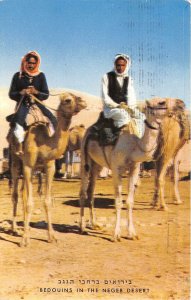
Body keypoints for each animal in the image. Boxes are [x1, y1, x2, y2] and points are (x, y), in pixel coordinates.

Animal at [8, 92, 86, 246]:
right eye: (68, 100)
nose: (84, 101)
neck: (43, 142)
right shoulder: (28, 165)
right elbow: (30, 203)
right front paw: (24, 240)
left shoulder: (49, 168)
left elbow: (47, 202)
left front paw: (51, 236)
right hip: (15, 162)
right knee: (15, 195)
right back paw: (15, 229)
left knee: (23, 194)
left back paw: (25, 227)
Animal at [79, 98, 170, 241]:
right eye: (160, 102)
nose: (172, 107)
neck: (134, 147)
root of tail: (89, 129)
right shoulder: (116, 169)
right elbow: (118, 202)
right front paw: (116, 234)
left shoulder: (134, 169)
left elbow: (129, 201)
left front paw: (132, 233)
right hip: (84, 158)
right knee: (83, 192)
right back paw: (82, 227)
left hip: (96, 165)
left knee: (90, 191)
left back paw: (94, 224)